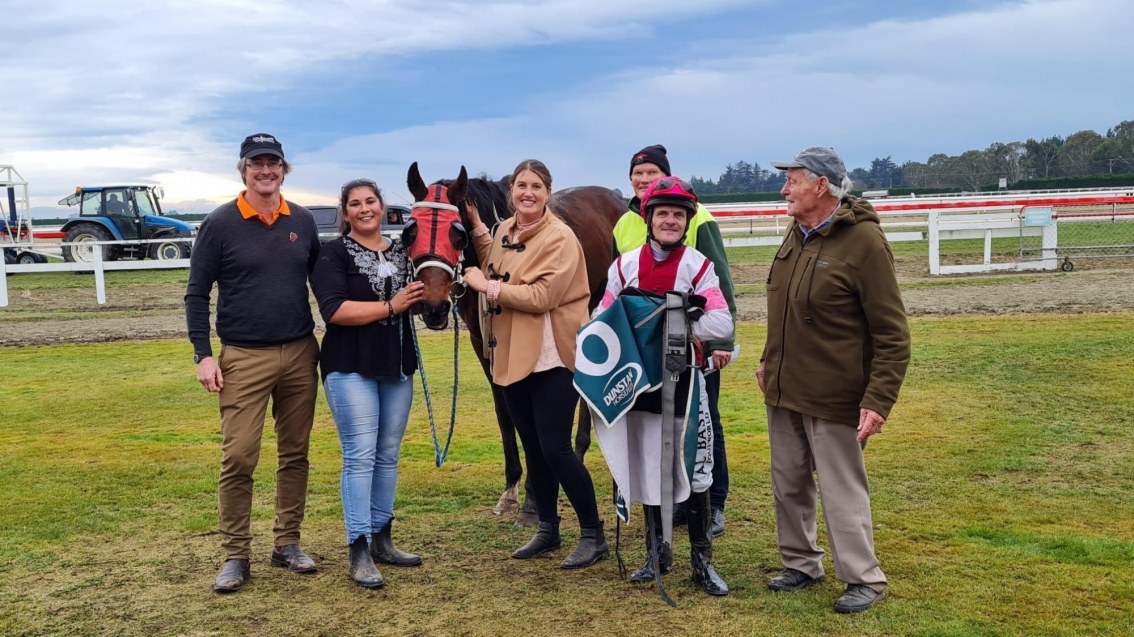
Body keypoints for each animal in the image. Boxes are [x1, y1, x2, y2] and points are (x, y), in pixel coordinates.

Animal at [403, 160, 625, 523]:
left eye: (457, 233)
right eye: (410, 231)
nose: (433, 307)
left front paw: (535, 498)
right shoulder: (483, 341)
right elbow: (505, 410)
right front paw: (511, 489)